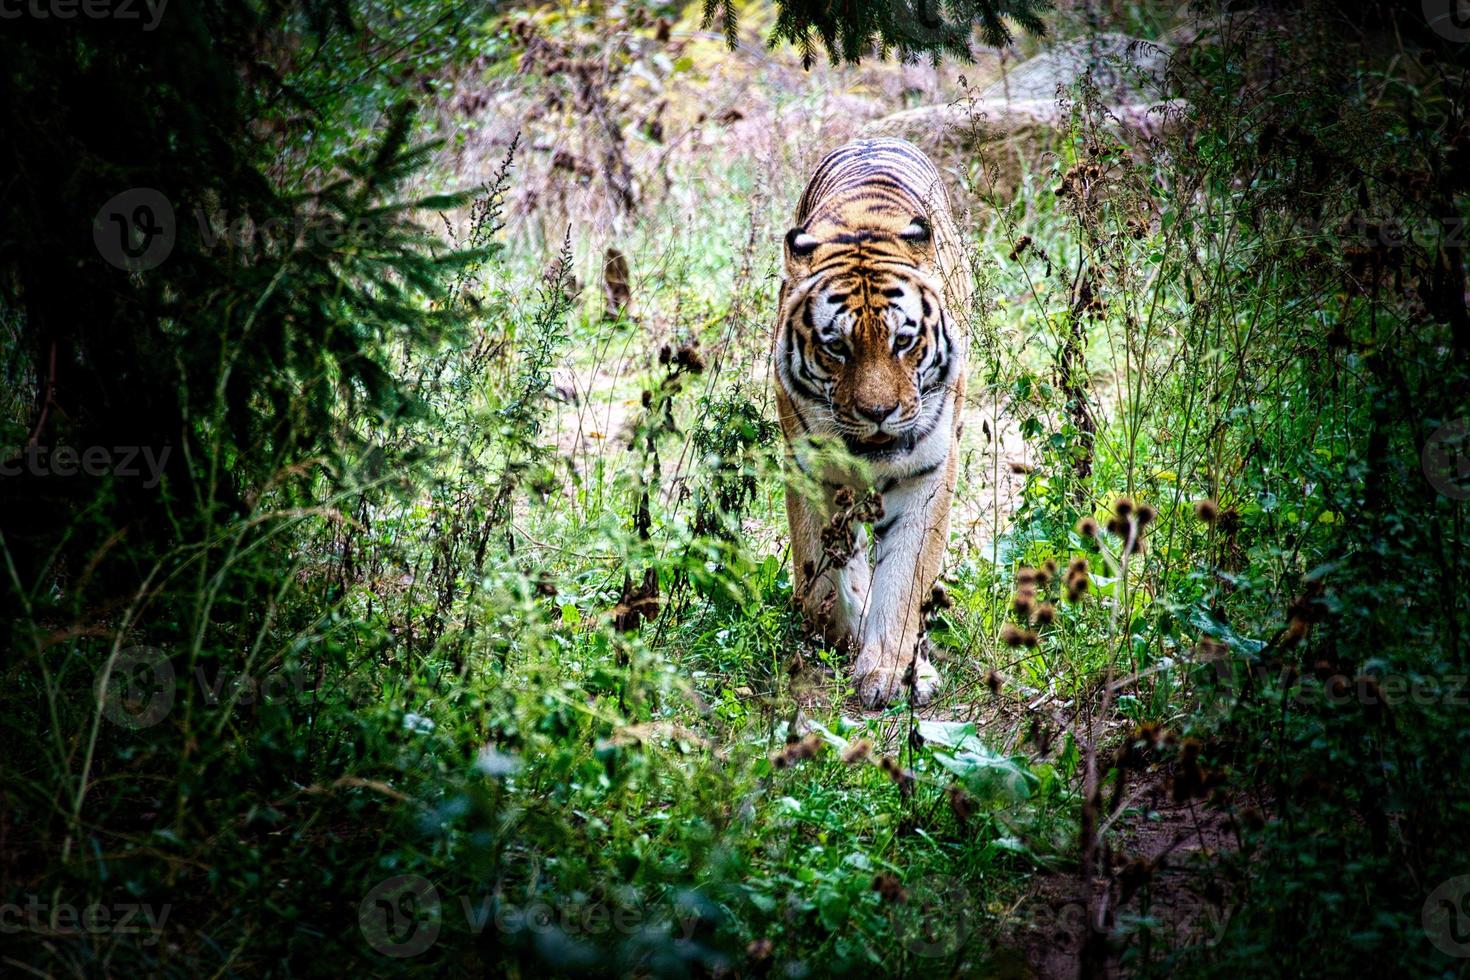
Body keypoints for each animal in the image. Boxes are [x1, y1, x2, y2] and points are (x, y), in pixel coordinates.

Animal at [776, 135, 970, 705]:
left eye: (902, 341)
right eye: (836, 348)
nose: (878, 413)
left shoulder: (929, 475)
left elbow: (904, 580)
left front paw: (887, 671)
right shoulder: (809, 470)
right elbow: (820, 576)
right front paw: (843, 633)